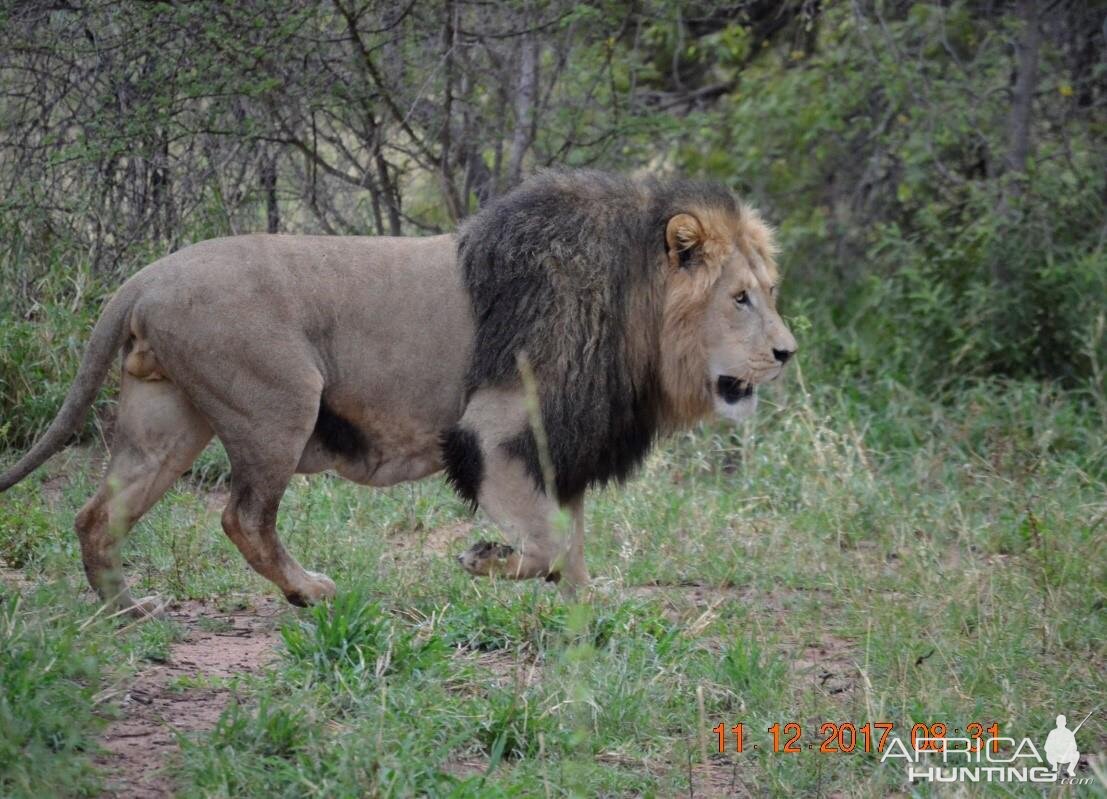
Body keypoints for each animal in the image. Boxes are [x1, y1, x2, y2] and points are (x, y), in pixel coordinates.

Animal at [0, 169, 797, 615]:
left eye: (769, 292)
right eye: (739, 298)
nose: (787, 353)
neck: (635, 315)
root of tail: (146, 276)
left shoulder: (562, 448)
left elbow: (570, 543)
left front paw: (583, 615)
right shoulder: (494, 432)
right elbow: (542, 541)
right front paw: (484, 561)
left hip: (167, 419)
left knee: (97, 514)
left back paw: (126, 607)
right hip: (279, 403)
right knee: (244, 517)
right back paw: (308, 591)